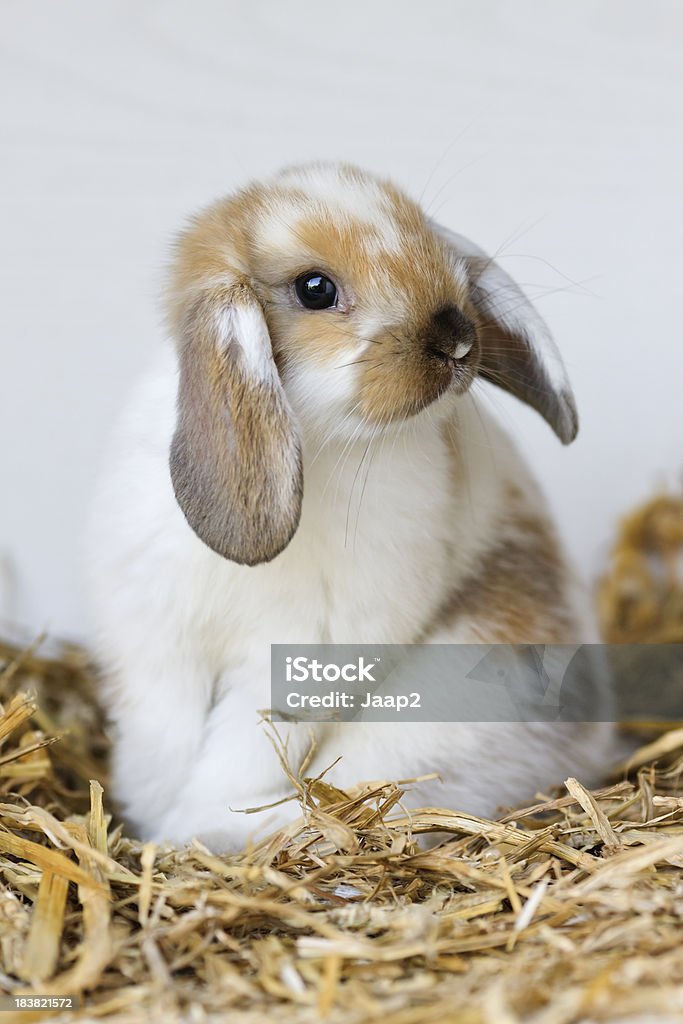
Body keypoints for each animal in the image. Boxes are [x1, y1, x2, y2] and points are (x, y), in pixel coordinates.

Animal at [85, 161, 614, 847]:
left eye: (434, 247)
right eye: (315, 289)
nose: (458, 338)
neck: (321, 439)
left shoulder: (300, 655)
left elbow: (240, 753)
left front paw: (184, 828)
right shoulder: (157, 647)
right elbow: (165, 742)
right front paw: (152, 818)